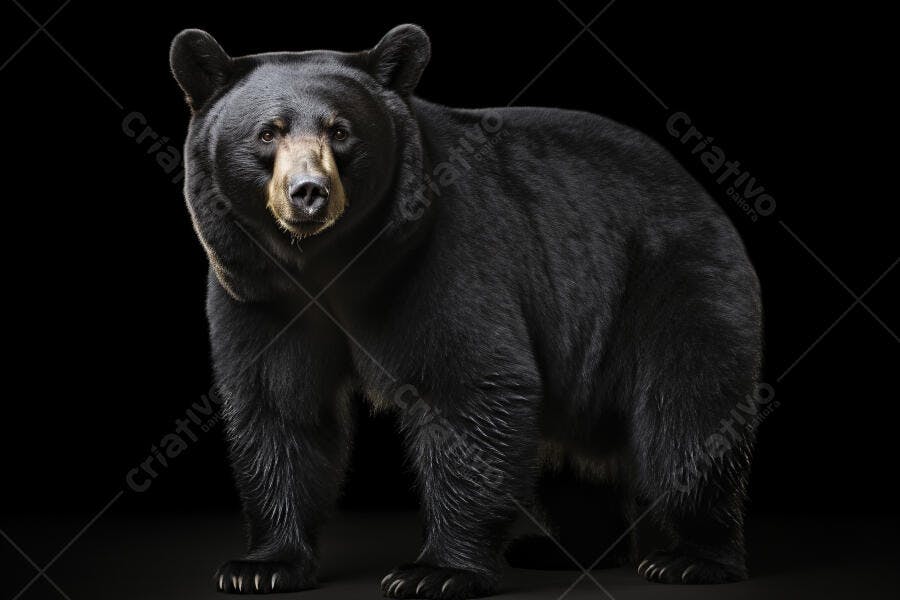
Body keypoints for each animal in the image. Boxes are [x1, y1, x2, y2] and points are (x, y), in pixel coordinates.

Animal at [170, 23, 762, 598]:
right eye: (267, 133)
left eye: (340, 131)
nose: (308, 192)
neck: (327, 263)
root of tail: (698, 191)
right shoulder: (257, 289)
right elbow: (278, 405)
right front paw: (261, 566)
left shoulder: (441, 252)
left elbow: (469, 383)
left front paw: (436, 570)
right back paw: (567, 548)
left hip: (673, 282)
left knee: (686, 416)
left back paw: (691, 558)